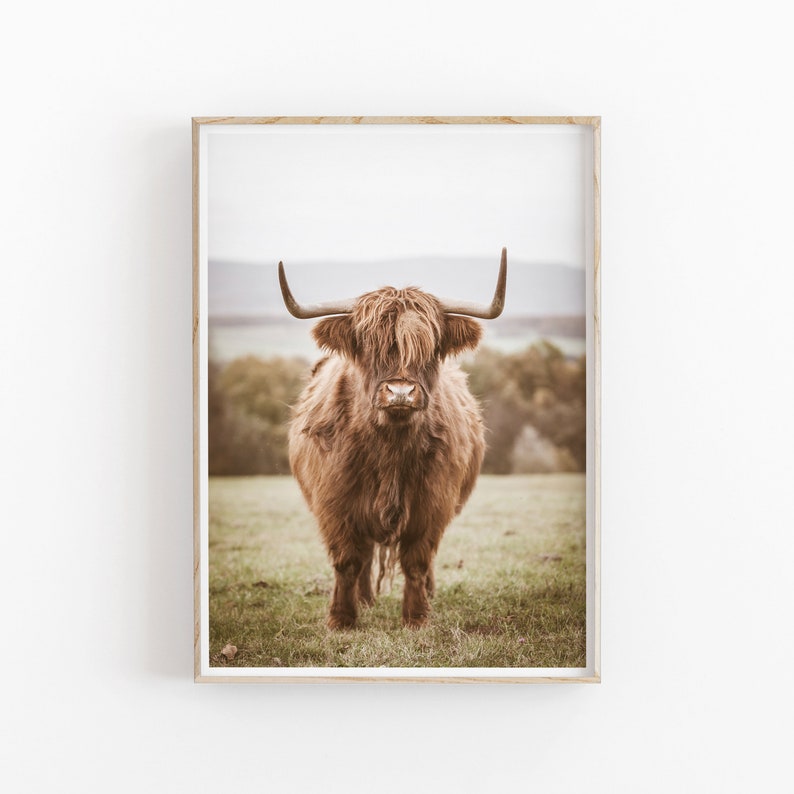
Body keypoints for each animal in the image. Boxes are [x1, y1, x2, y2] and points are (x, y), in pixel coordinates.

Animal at [279, 249, 507, 629]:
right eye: (368, 345)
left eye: (430, 347)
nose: (400, 391)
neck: (389, 448)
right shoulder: (335, 503)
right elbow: (347, 561)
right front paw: (342, 618)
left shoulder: (433, 503)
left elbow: (417, 560)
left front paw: (416, 617)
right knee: (366, 554)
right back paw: (365, 599)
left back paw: (427, 593)